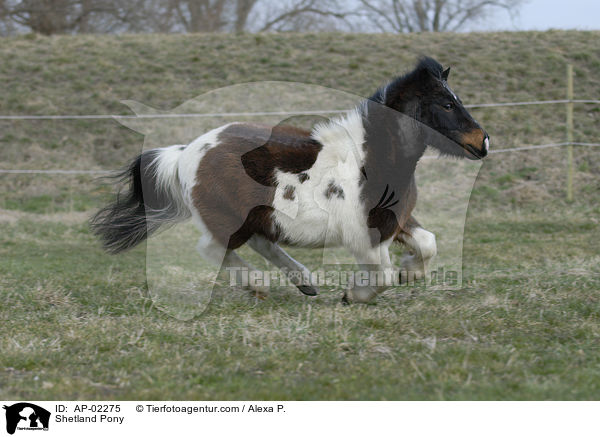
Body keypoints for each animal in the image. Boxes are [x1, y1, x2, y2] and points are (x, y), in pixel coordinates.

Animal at [91, 57, 490, 304]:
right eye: (447, 104)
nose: (483, 141)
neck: (375, 158)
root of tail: (185, 152)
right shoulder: (365, 234)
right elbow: (384, 276)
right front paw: (354, 295)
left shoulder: (396, 221)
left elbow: (427, 244)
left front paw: (410, 274)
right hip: (228, 219)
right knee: (215, 249)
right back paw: (259, 285)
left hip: (257, 217)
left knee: (261, 243)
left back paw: (304, 282)